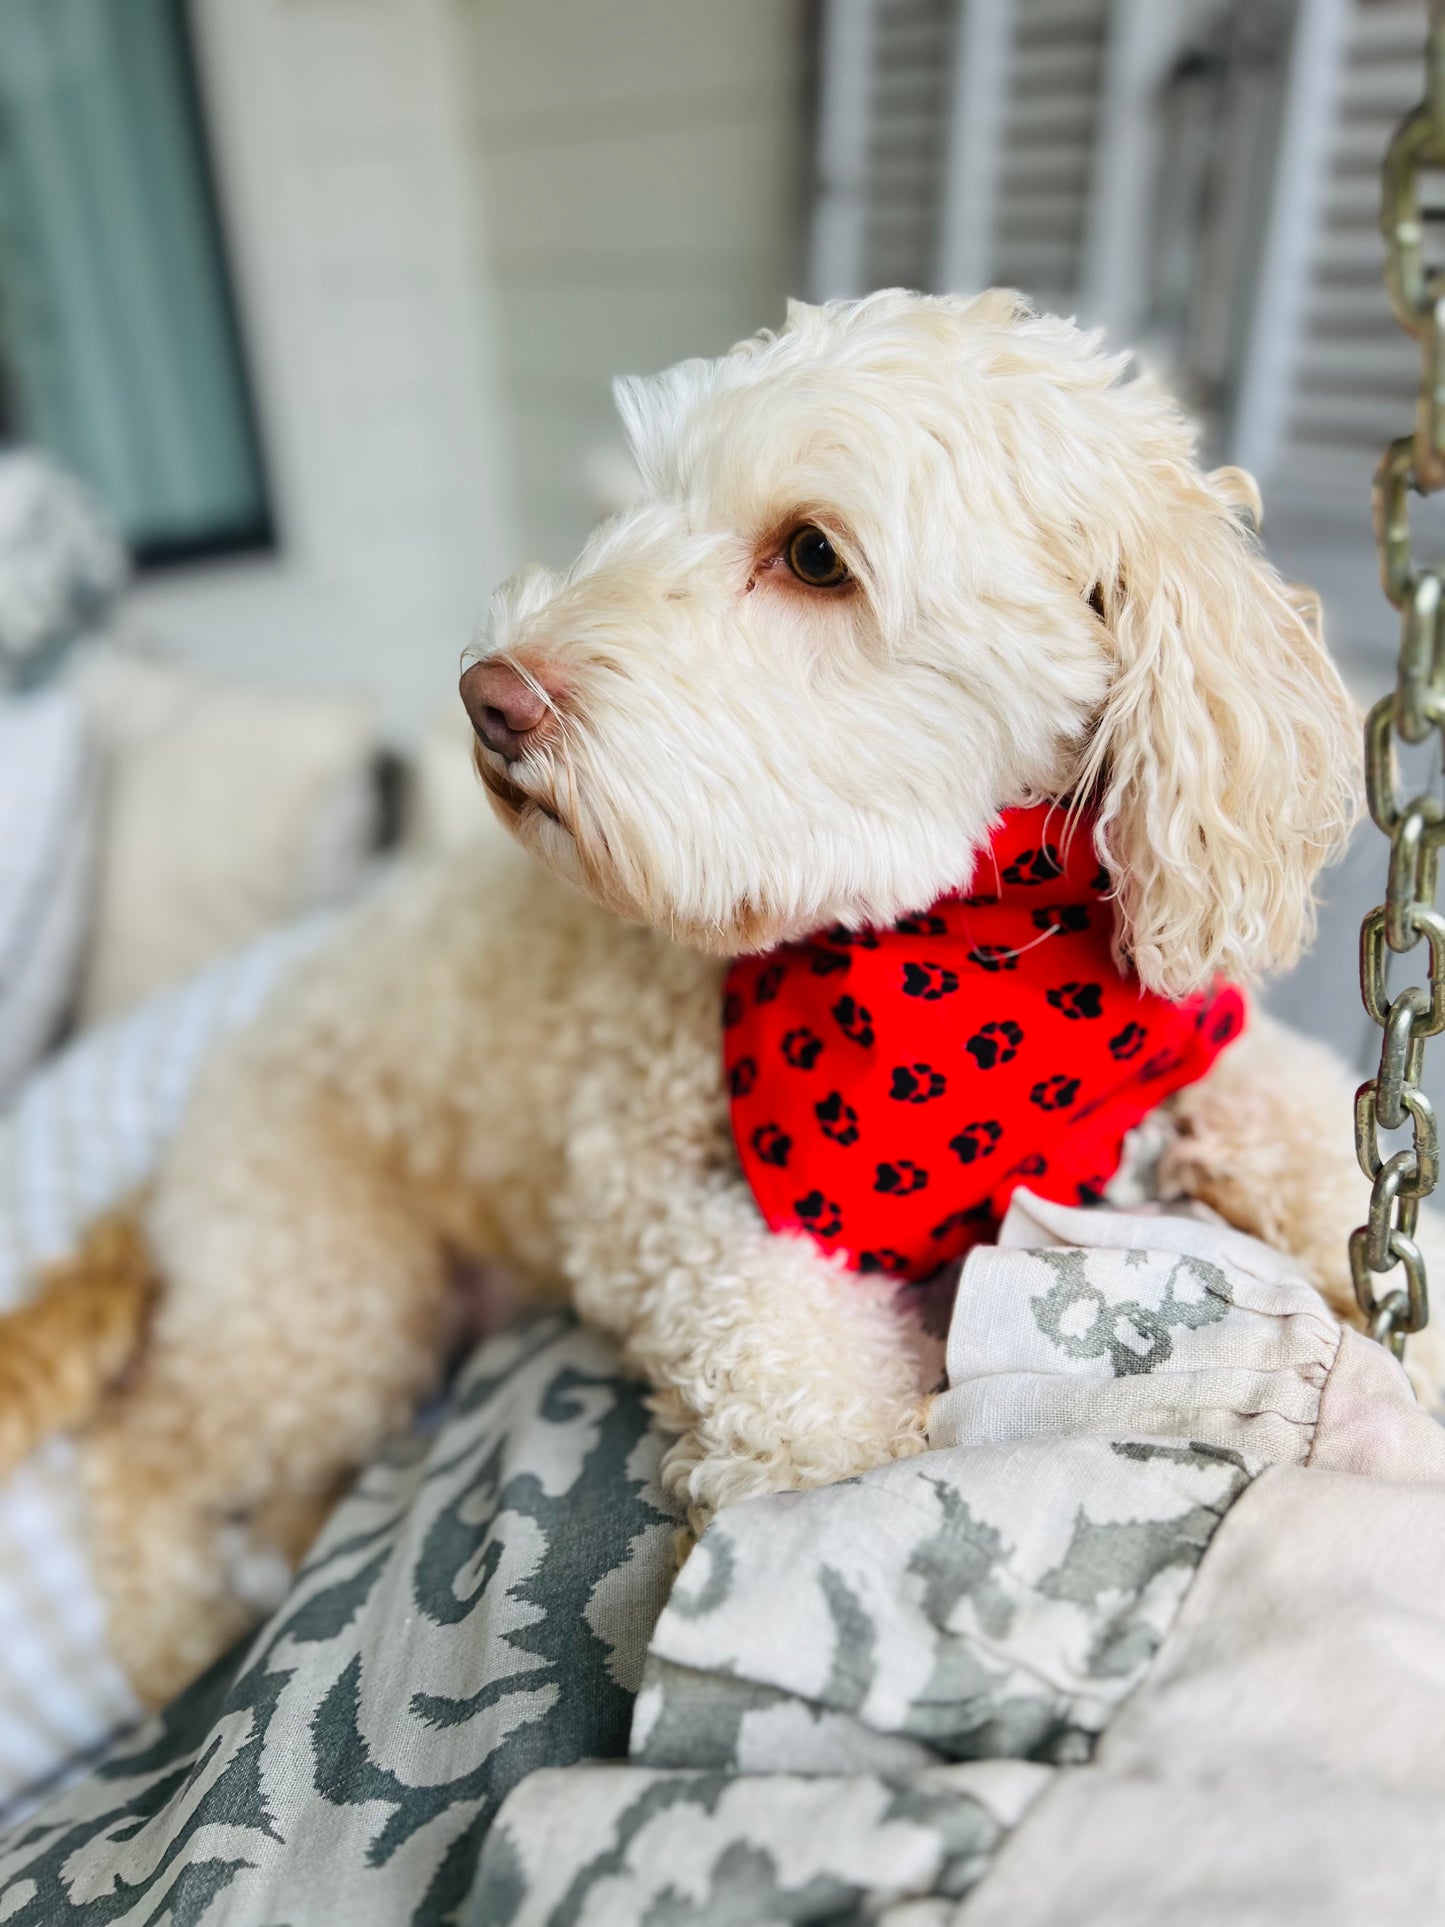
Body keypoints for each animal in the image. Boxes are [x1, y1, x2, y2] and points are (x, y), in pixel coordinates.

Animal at [0, 285, 1441, 1703]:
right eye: (637, 502)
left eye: (812, 555)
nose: (486, 696)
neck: (955, 948)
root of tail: (189, 1141)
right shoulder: (654, 1199)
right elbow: (796, 1393)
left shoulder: (1201, 1056)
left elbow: (1310, 1141)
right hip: (323, 1297)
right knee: (145, 1450)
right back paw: (178, 1642)